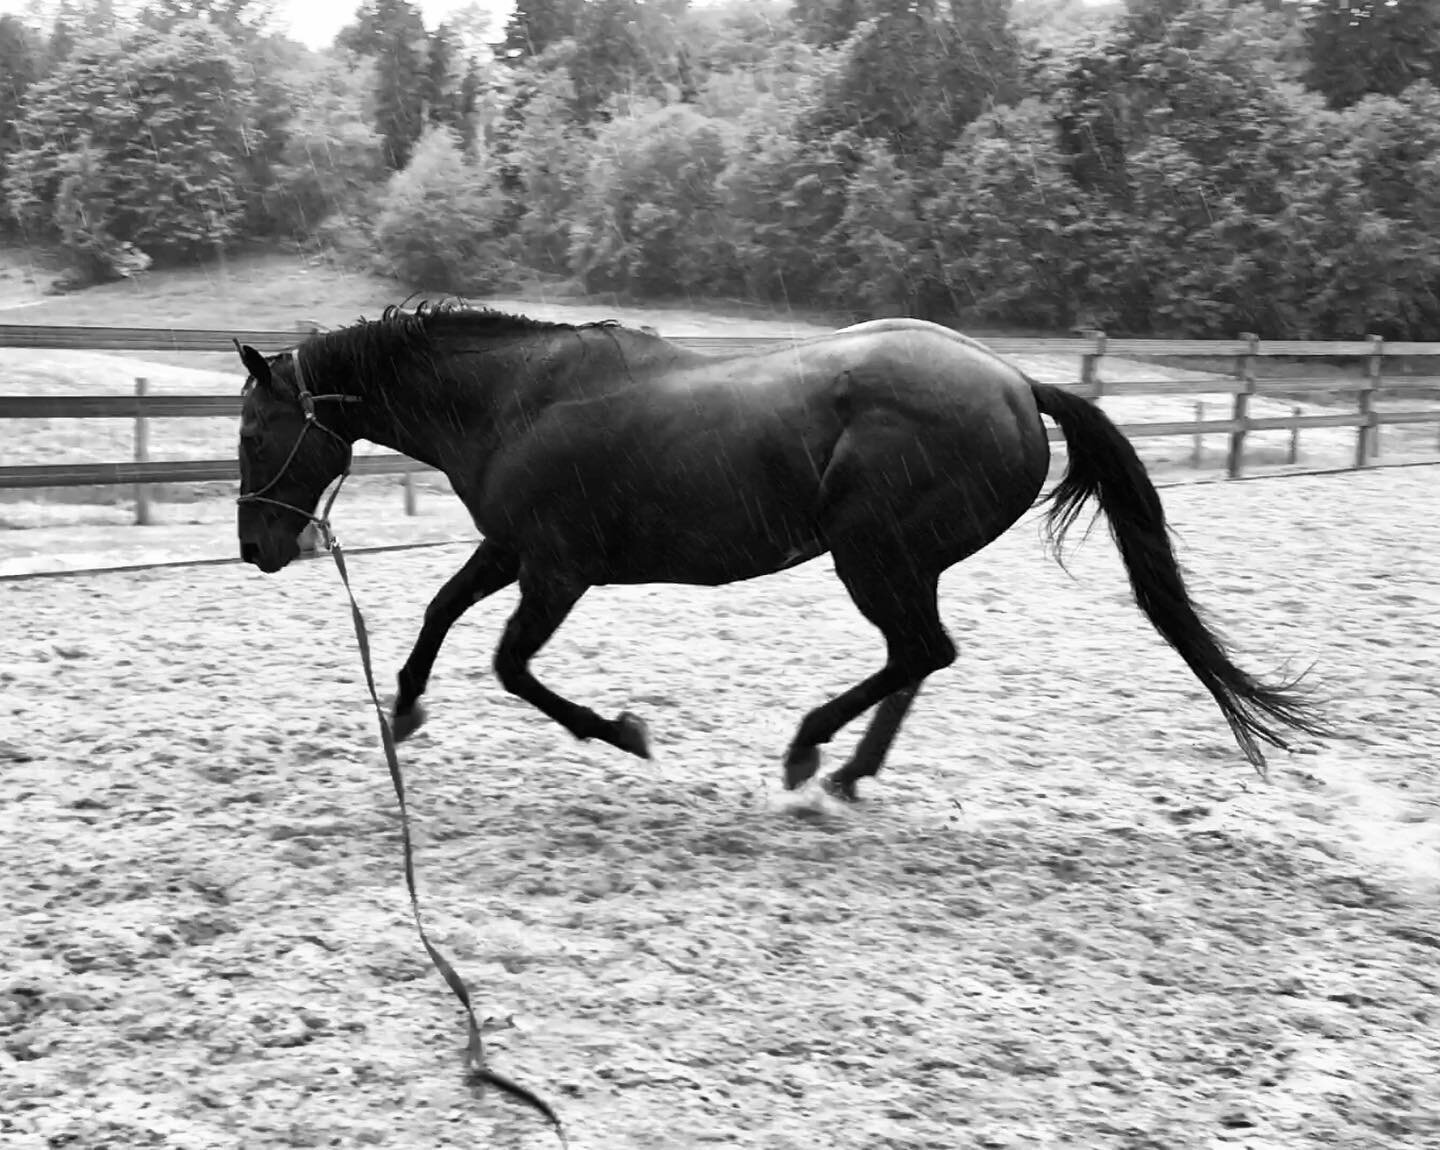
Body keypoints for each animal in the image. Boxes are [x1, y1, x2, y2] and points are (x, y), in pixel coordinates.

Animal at [233, 300, 1324, 800]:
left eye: (251, 430)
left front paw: (622, 731)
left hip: (870, 553)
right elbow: (438, 612)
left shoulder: (556, 569)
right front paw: (404, 710)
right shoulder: (511, 550)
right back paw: (847, 771)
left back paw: (810, 751)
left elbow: (510, 666)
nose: (255, 546)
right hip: (902, 562)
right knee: (921, 656)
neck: (516, 400)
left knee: (919, 651)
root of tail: (1019, 385)